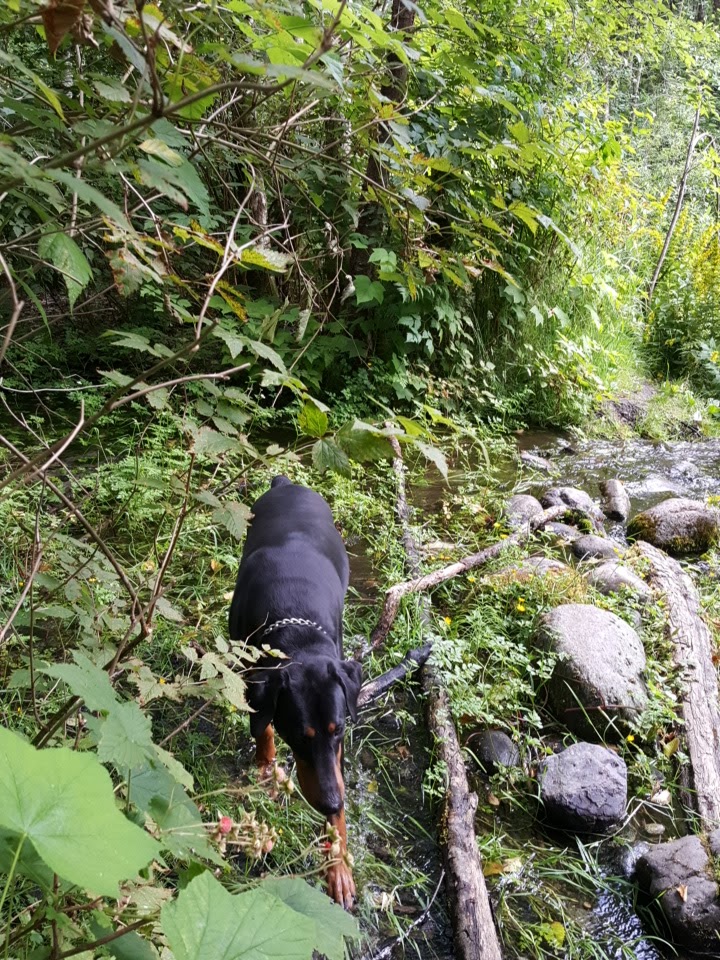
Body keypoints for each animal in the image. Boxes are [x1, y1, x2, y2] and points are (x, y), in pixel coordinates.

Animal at [229, 478, 360, 908]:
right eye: (299, 739)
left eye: (339, 731)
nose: (333, 802)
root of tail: (286, 484)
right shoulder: (250, 675)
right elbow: (263, 726)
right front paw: (267, 769)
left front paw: (338, 867)